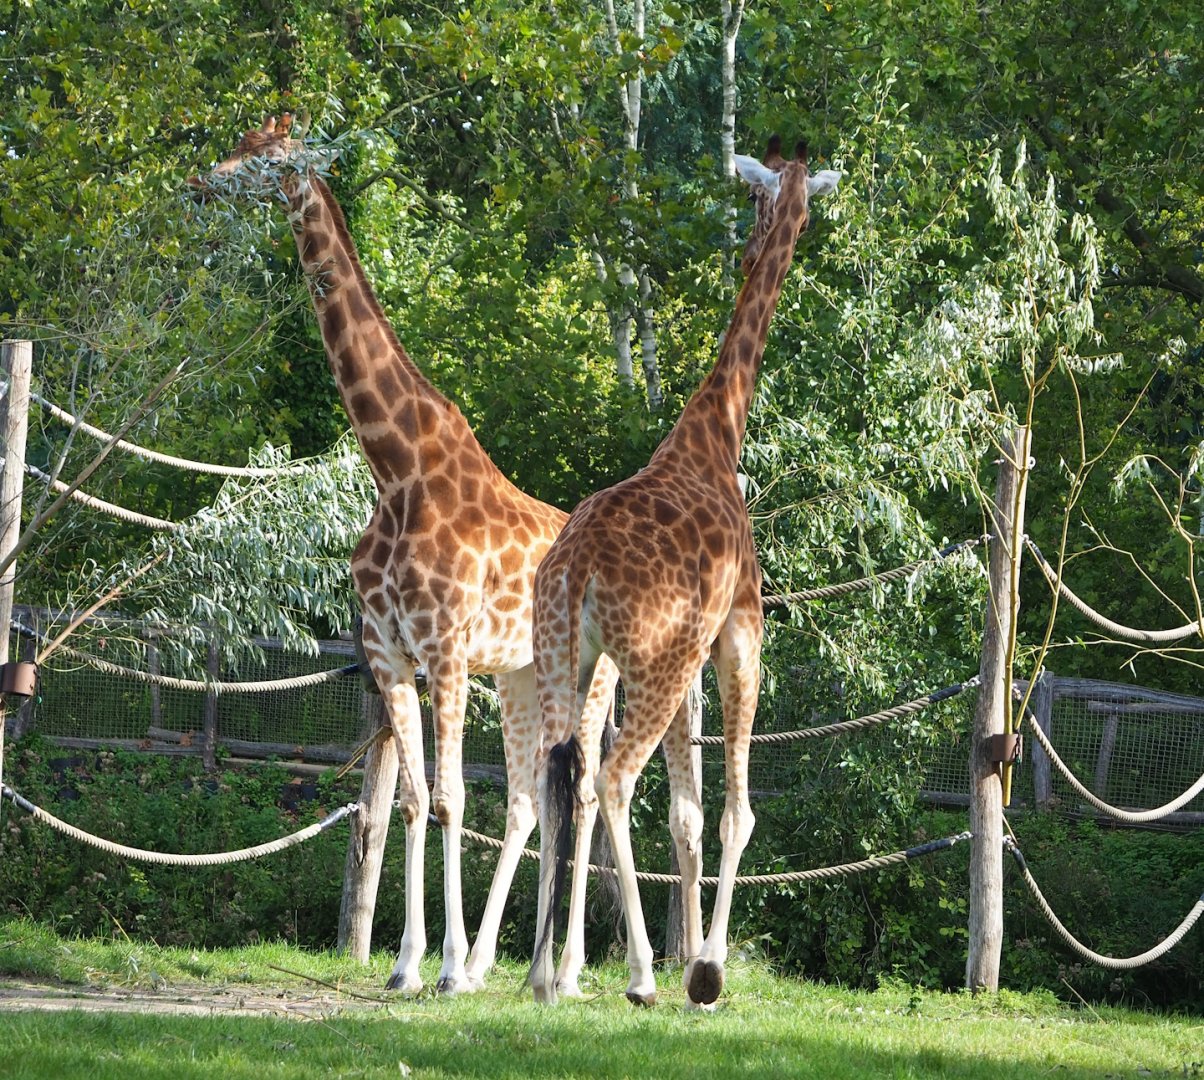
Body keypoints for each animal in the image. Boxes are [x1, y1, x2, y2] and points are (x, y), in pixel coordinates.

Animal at [190, 114, 619, 996]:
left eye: (265, 158)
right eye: (237, 142)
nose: (200, 185)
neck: (396, 466)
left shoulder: (444, 648)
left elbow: (454, 797)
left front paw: (445, 968)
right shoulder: (389, 650)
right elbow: (418, 799)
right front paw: (410, 964)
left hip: (593, 680)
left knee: (588, 794)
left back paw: (561, 974)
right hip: (523, 675)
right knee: (534, 799)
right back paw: (510, 969)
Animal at [528, 136, 840, 1007]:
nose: (759, 242)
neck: (716, 433)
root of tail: (578, 567)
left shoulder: (689, 655)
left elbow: (688, 816)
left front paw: (693, 952)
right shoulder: (739, 631)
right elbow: (734, 813)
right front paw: (707, 967)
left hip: (570, 657)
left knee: (559, 778)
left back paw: (545, 974)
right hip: (653, 661)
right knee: (611, 779)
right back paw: (637, 975)